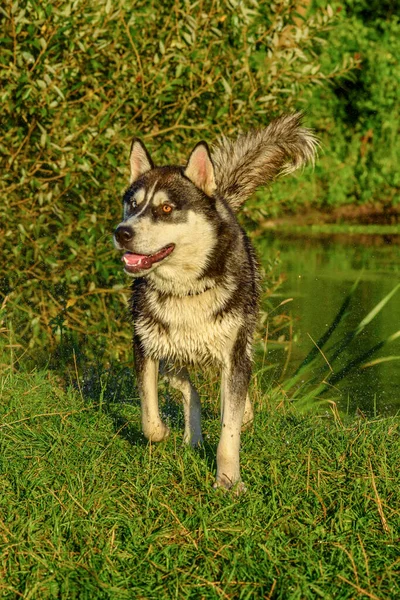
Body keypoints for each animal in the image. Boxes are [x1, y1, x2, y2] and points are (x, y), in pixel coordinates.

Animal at [114, 113, 318, 492]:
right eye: (133, 205)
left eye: (166, 208)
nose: (122, 232)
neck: (185, 289)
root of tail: (219, 195)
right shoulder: (144, 347)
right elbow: (150, 419)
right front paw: (165, 432)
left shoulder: (235, 356)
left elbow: (229, 431)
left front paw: (228, 481)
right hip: (168, 347)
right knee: (186, 386)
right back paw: (191, 436)